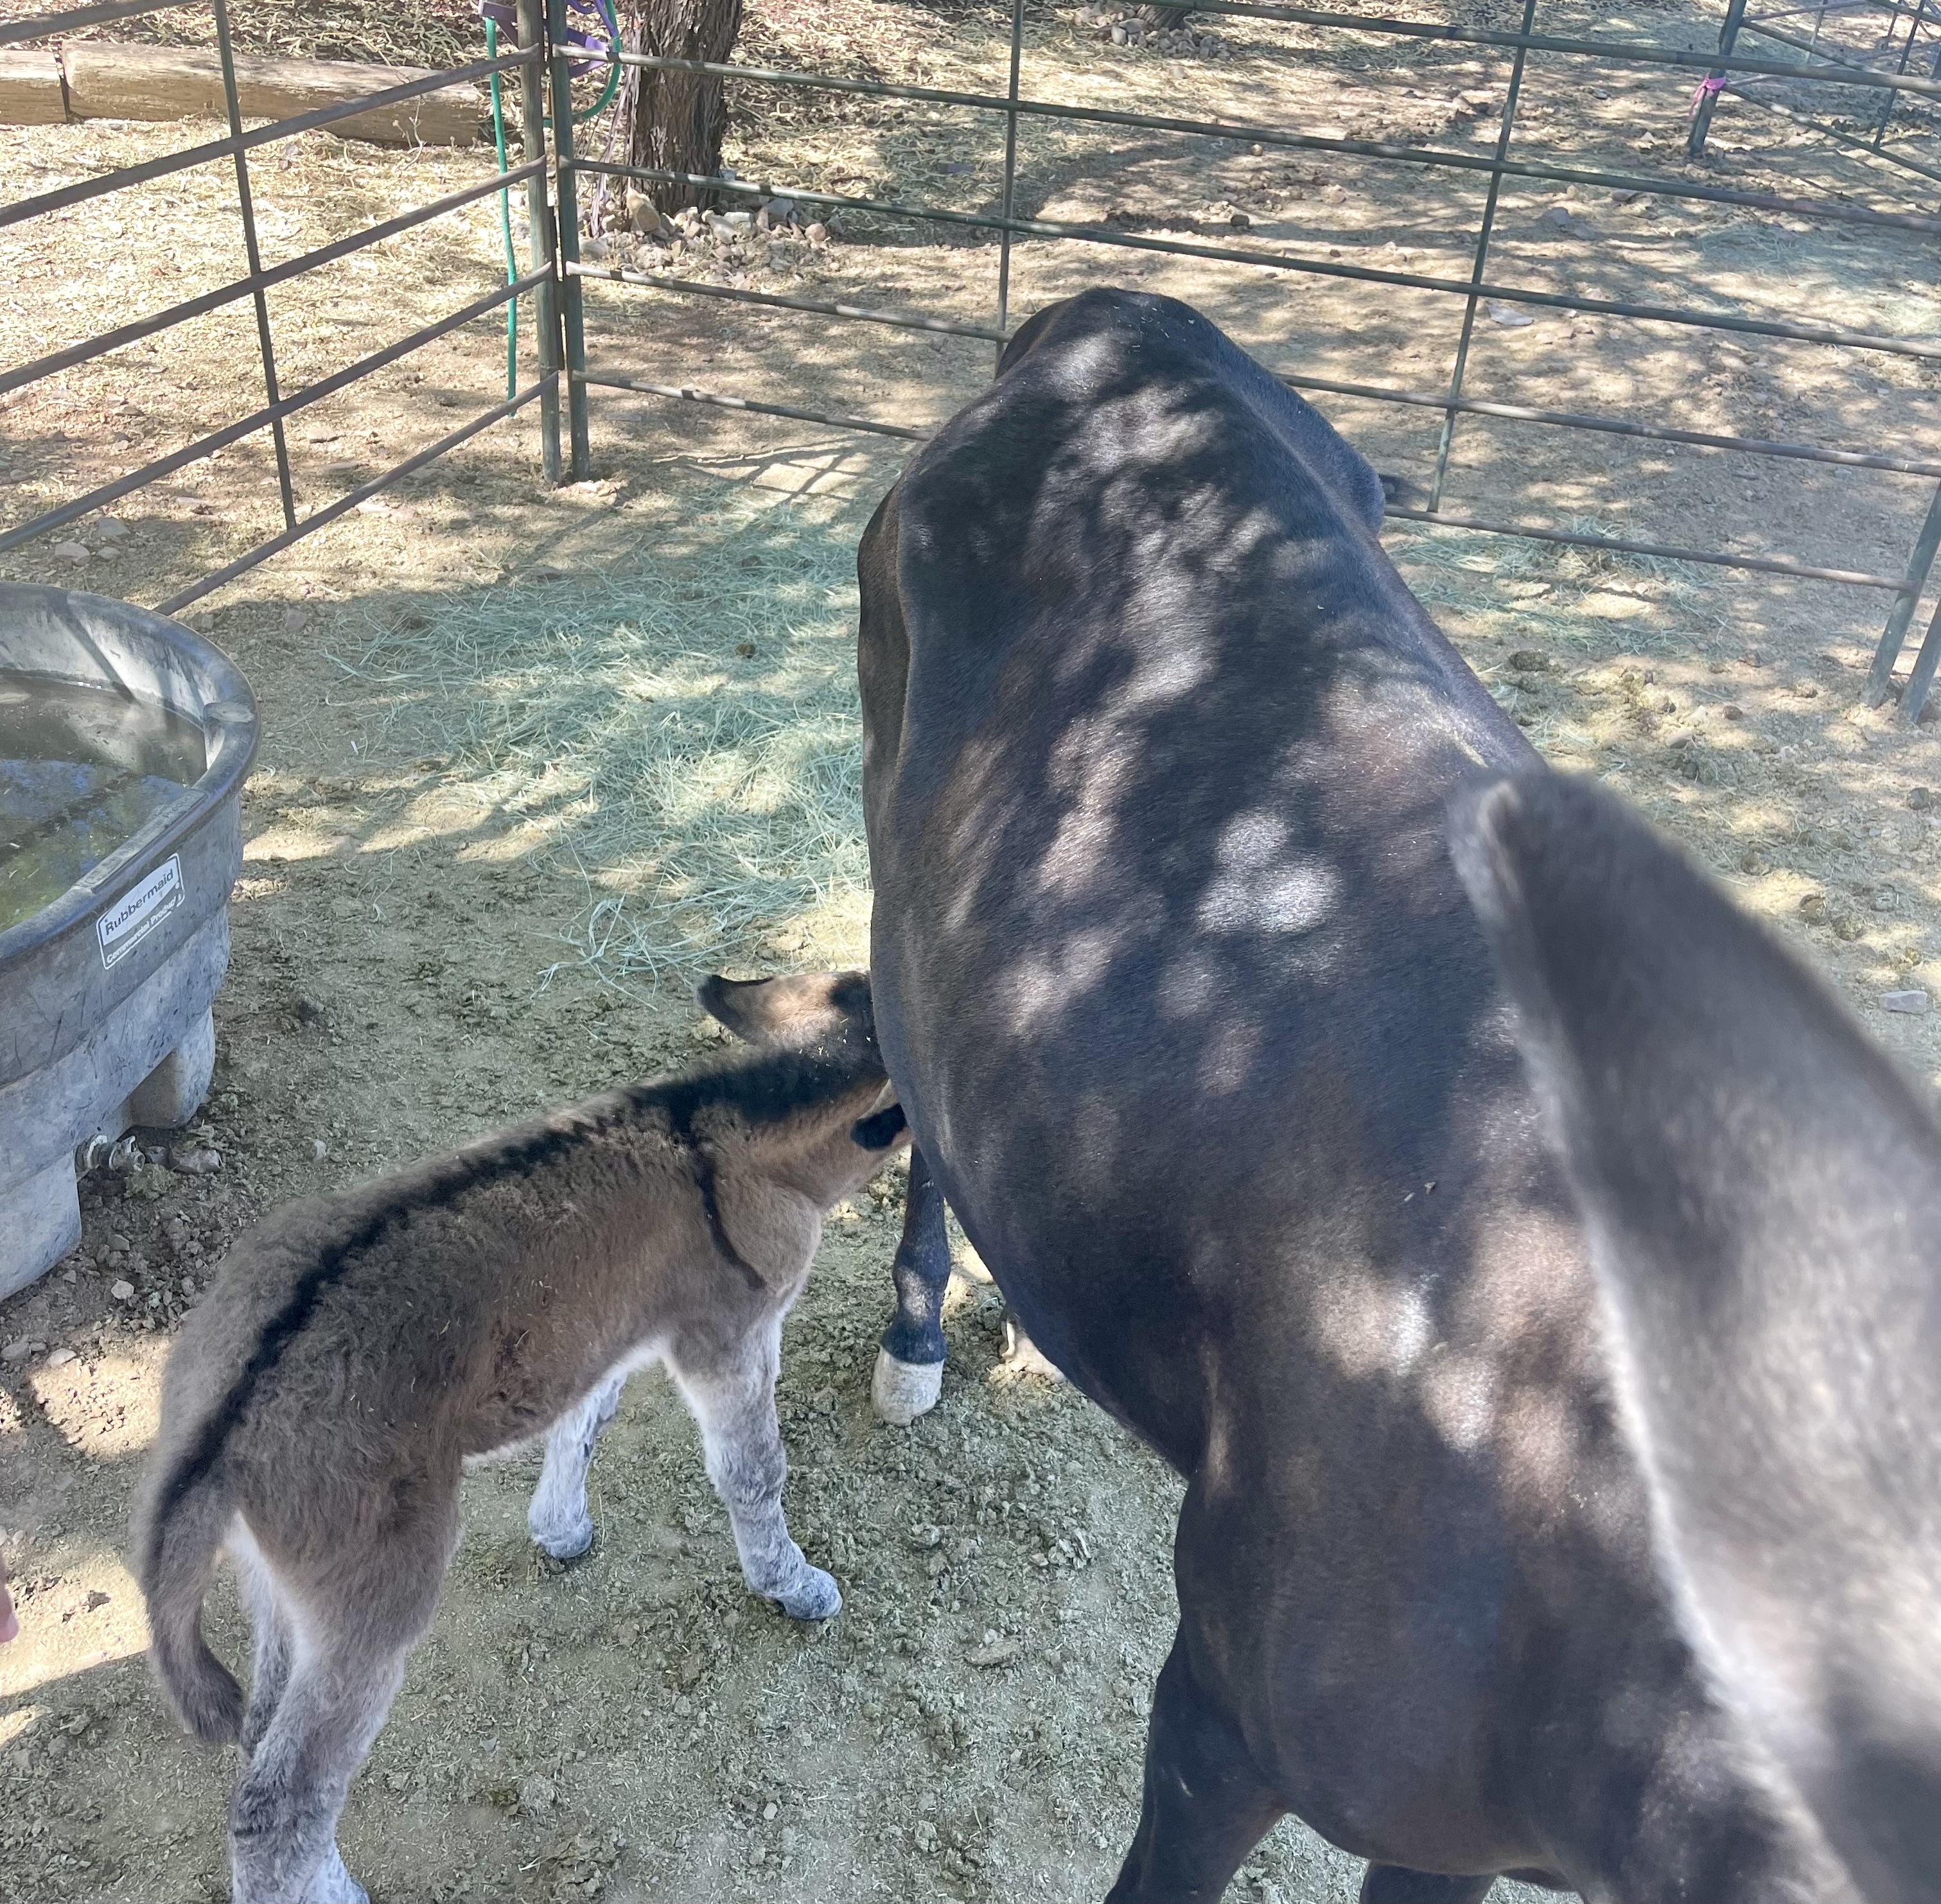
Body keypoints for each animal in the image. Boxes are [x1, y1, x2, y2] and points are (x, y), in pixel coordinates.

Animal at [137, 974, 908, 1894]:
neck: (720, 1133)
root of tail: (226, 1416)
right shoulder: (729, 1338)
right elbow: (754, 1473)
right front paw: (790, 1585)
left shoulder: (607, 1331)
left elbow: (584, 1421)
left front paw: (560, 1529)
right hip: (375, 1595)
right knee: (279, 1801)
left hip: (282, 1585)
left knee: (261, 1742)